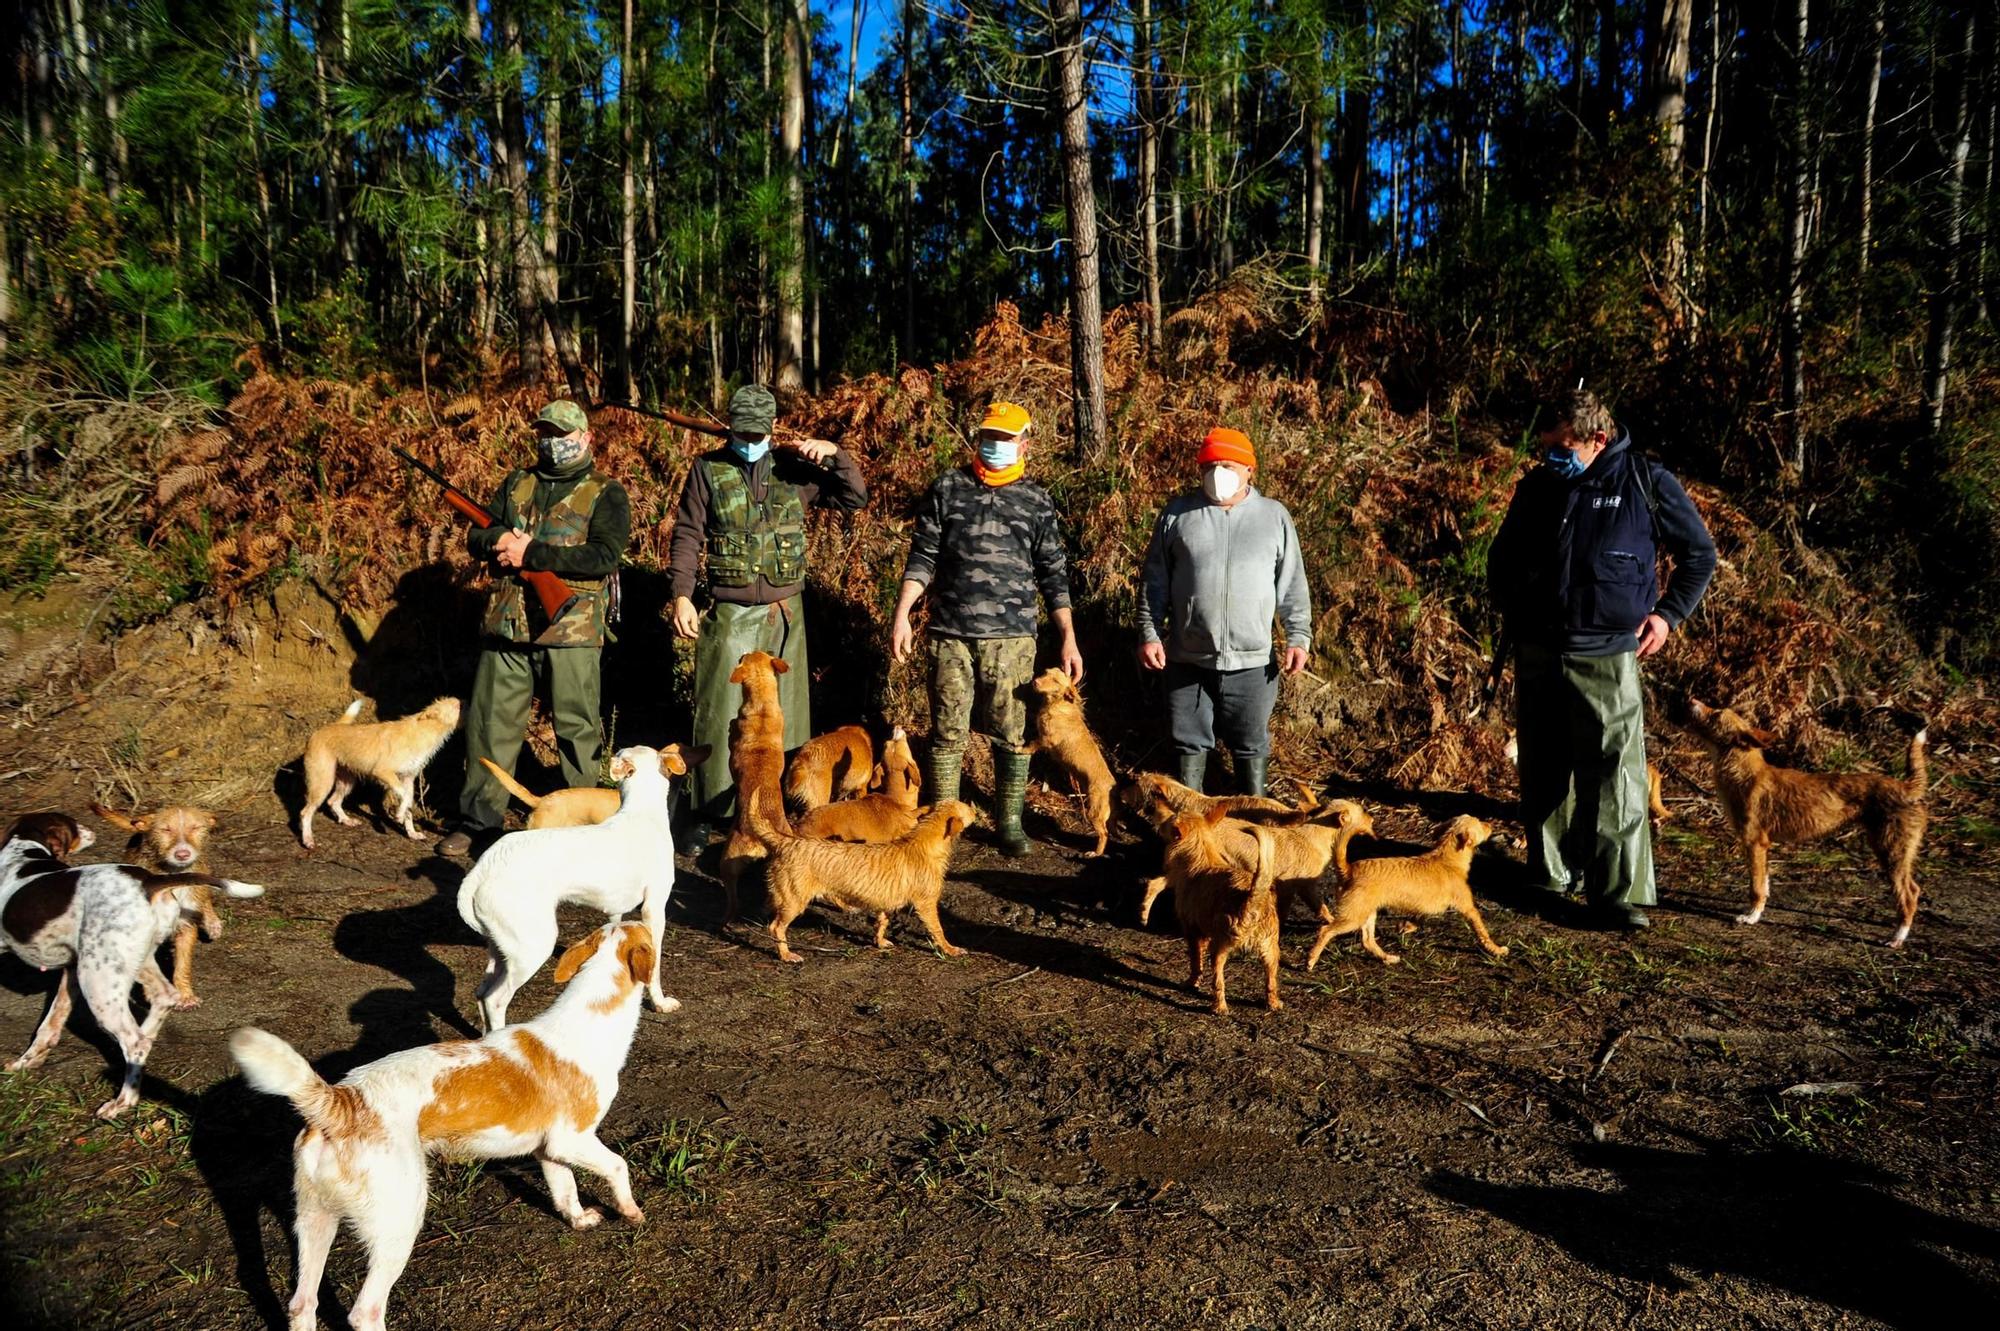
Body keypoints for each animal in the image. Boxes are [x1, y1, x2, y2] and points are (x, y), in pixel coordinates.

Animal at [0, 807, 262, 1119]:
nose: (89, 831)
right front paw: (26, 1062)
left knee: (135, 1041)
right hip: (124, 963)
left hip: (98, 983)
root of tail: (148, 882)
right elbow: (48, 1026)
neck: (23, 853)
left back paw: (123, 1101)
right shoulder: (70, 971)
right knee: (163, 1001)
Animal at [233, 919, 656, 1327]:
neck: (587, 1020)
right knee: (365, 1311)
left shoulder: (549, 1150)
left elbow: (564, 1190)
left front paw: (580, 1220)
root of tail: (342, 1101)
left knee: (303, 1304)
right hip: (401, 1219)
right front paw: (631, 1211)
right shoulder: (573, 1140)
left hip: (315, 1219)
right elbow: (618, 1165)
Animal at [458, 735, 692, 1023]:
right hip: (533, 945)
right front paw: (660, 1002)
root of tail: (482, 868)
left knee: (482, 992)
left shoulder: (615, 912)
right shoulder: (654, 909)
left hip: (499, 949)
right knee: (495, 999)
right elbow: (656, 964)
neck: (640, 812)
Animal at [1688, 695, 1920, 943]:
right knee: (1915, 890)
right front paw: (1759, 912)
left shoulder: (1754, 842)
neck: (1743, 773)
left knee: (1908, 894)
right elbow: (1765, 884)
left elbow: (1756, 887)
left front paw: (1751, 917)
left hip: (1891, 852)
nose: (1691, 699)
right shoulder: (1763, 846)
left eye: (1716, 714)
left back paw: (1897, 937)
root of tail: (1908, 787)